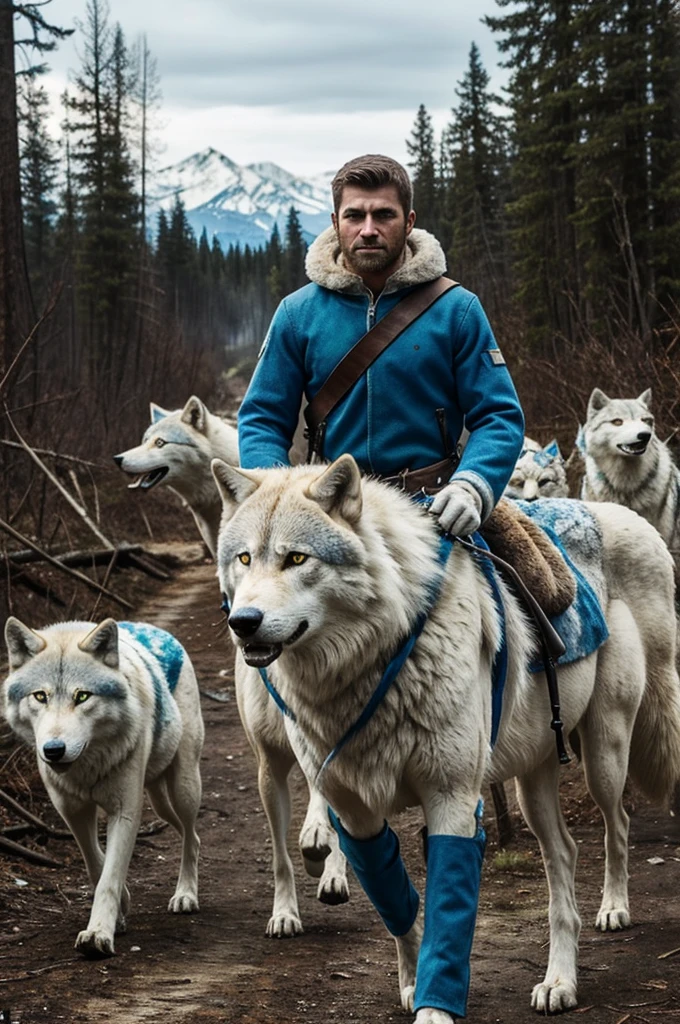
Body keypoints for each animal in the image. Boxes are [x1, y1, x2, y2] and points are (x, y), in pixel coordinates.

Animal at [3, 614, 204, 958]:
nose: (53, 750)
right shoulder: (73, 812)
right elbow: (97, 865)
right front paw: (120, 911)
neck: (87, 766)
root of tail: (157, 630)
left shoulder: (126, 811)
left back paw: (186, 895)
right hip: (158, 799)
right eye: (40, 696)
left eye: (82, 696)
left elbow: (110, 875)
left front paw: (98, 934)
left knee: (192, 836)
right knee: (189, 833)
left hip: (184, 788)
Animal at [114, 397, 348, 937]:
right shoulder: (267, 762)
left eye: (160, 442)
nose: (119, 459)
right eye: (144, 439)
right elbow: (281, 855)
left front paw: (322, 854)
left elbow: (323, 803)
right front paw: (285, 911)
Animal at [210, 458, 680, 1024]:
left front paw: (435, 1007)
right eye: (244, 558)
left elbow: (446, 906)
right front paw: (413, 981)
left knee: (619, 822)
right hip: (533, 783)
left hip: (605, 754)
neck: (381, 656)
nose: (243, 623)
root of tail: (626, 516)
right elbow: (396, 898)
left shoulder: (452, 795)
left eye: (296, 558)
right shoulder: (355, 810)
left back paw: (612, 910)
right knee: (564, 857)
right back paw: (559, 983)